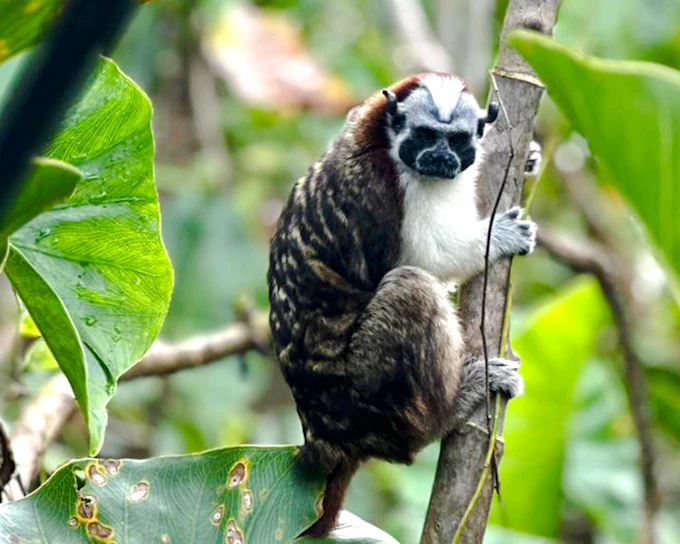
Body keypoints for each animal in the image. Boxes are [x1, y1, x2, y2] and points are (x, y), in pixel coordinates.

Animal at [267, 72, 536, 537]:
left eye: (457, 140)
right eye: (426, 136)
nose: (441, 158)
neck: (383, 143)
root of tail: (324, 435)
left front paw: (533, 157)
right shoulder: (384, 186)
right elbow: (427, 259)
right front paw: (497, 236)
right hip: (368, 394)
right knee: (410, 287)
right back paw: (451, 409)